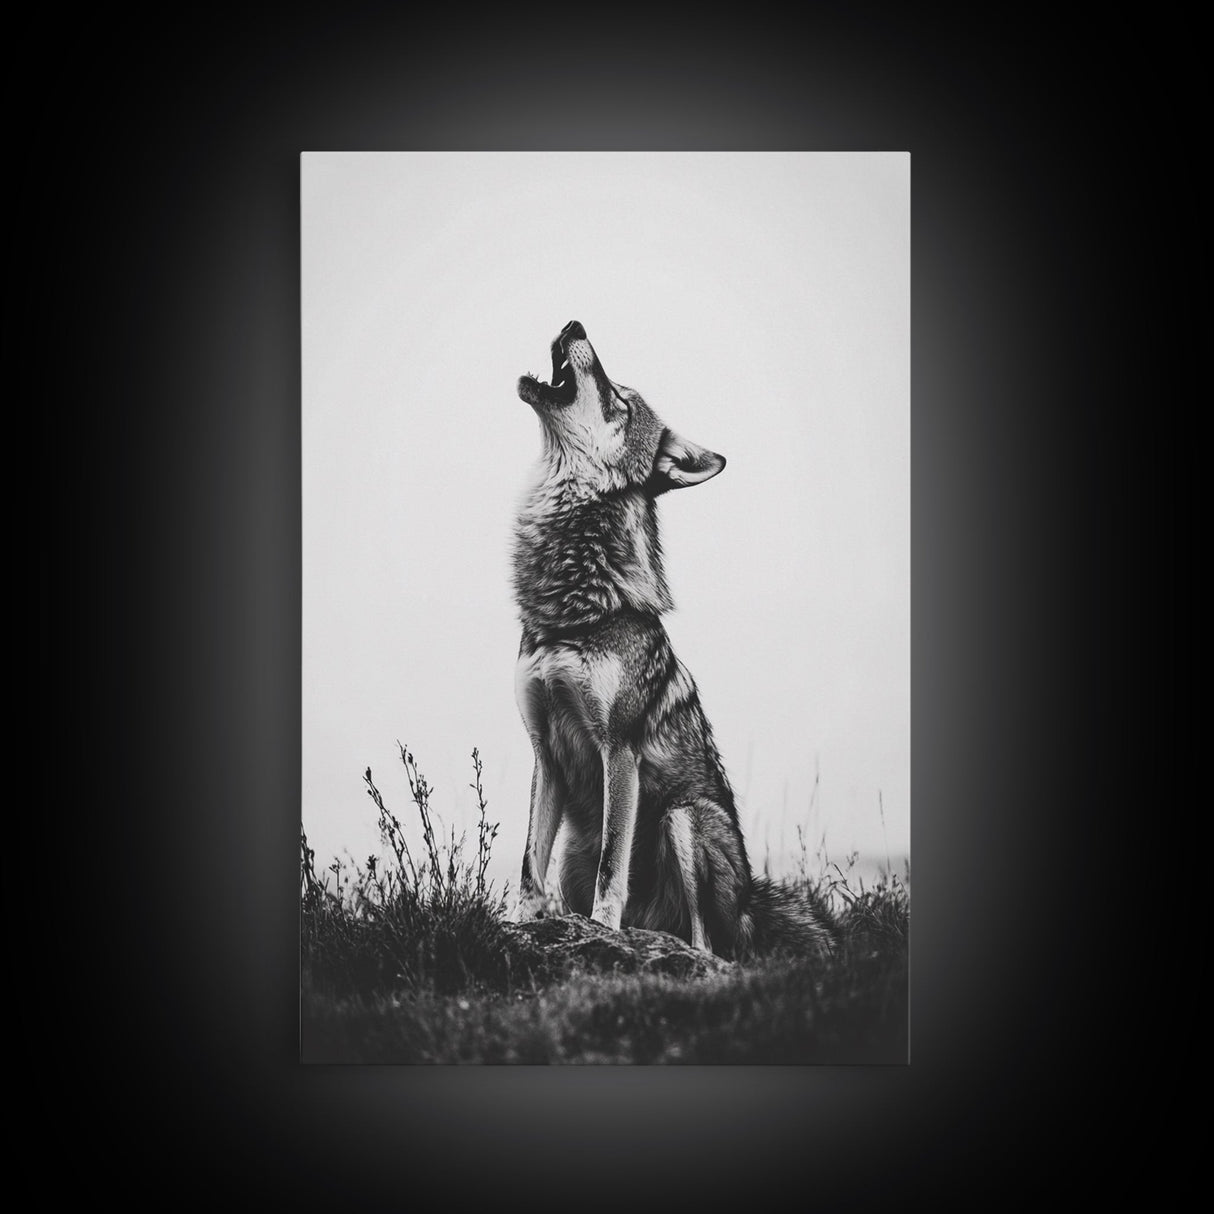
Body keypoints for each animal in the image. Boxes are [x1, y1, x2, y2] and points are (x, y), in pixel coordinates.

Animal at [510, 320, 834, 960]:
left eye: (620, 399)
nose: (574, 324)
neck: (570, 608)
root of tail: (752, 903)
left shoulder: (619, 749)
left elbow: (613, 866)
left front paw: (602, 931)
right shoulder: (545, 753)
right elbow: (529, 863)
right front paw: (523, 923)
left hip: (685, 817)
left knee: (711, 943)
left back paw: (674, 951)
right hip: (576, 852)